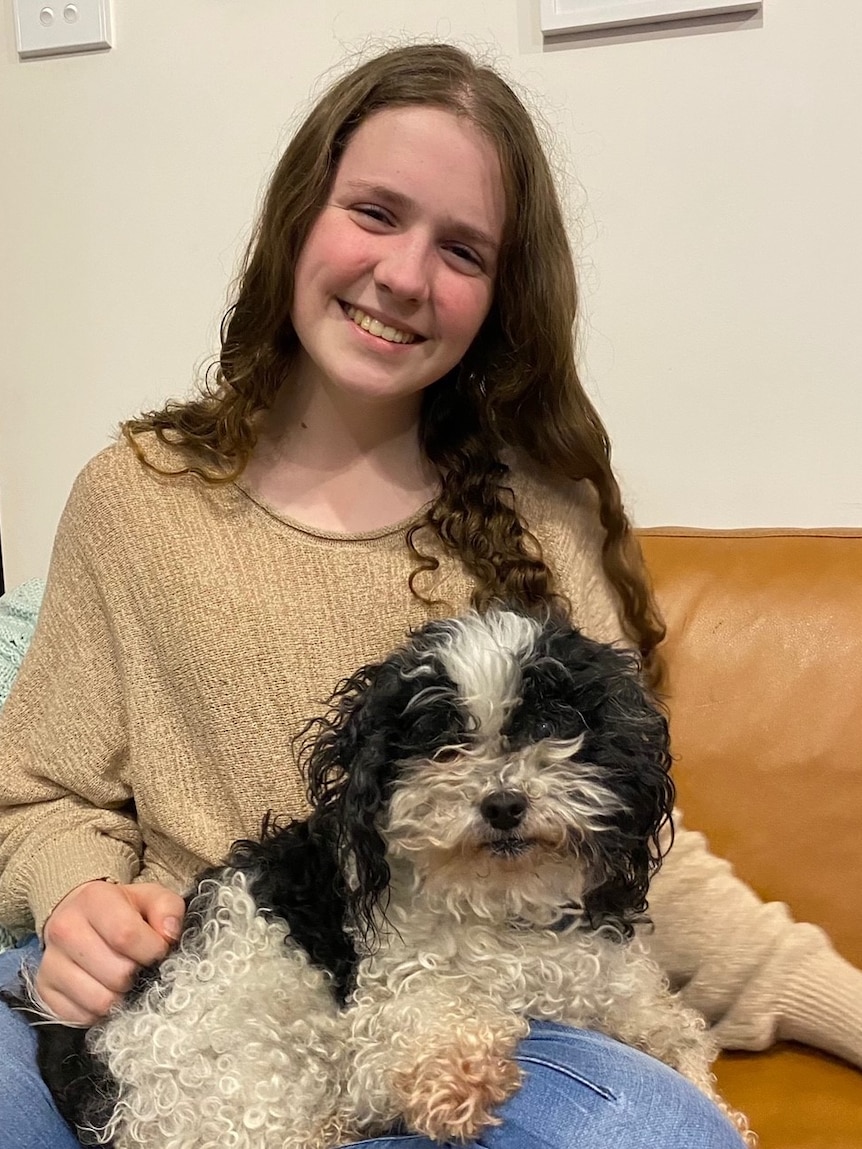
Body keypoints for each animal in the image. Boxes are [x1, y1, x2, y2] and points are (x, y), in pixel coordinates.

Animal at [6, 606, 753, 1144]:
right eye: (443, 742)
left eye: (552, 726)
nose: (503, 803)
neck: (504, 909)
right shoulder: (378, 1015)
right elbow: (426, 1019)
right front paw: (458, 1076)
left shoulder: (602, 978)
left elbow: (676, 1032)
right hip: (243, 1084)